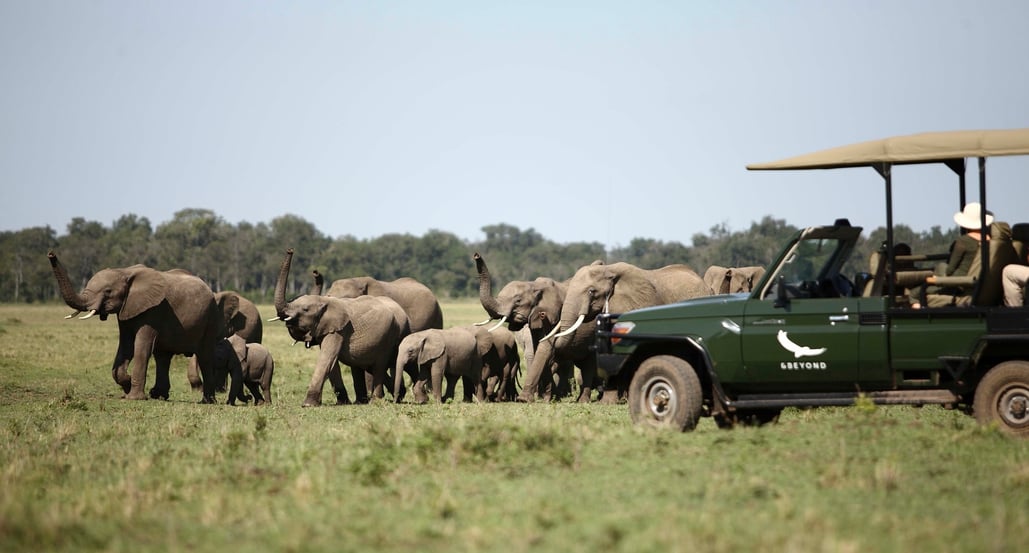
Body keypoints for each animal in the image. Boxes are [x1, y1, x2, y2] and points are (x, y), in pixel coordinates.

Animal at [49, 250, 233, 401]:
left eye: (108, 291)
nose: (51, 254)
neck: (124, 271)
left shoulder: (153, 309)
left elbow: (141, 346)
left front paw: (133, 396)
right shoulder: (127, 309)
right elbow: (125, 345)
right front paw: (127, 385)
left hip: (210, 318)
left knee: (204, 356)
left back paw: (207, 401)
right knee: (163, 357)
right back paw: (159, 395)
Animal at [271, 250, 411, 405]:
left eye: (305, 309)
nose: (290, 250)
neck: (324, 300)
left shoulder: (339, 330)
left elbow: (328, 357)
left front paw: (308, 405)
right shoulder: (327, 329)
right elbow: (331, 362)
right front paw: (342, 402)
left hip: (390, 336)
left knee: (379, 365)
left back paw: (376, 401)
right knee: (365, 364)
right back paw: (372, 399)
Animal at [475, 252, 580, 399]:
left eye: (518, 301)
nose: (476, 255)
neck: (534, 285)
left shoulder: (557, 314)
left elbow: (547, 347)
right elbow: (538, 346)